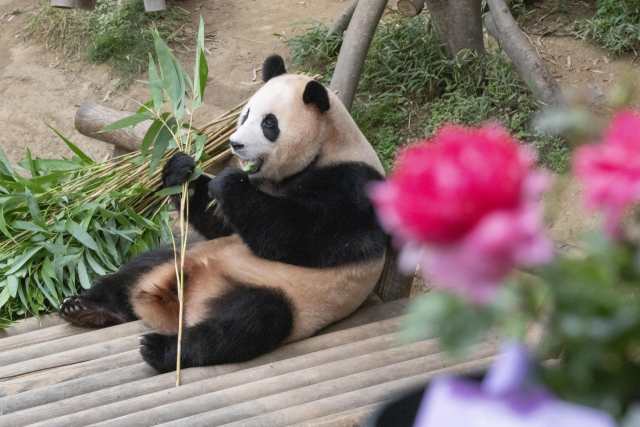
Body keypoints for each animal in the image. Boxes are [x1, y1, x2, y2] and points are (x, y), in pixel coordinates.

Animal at [60, 55, 388, 372]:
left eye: (270, 123)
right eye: (245, 115)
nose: (235, 144)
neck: (327, 148)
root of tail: (180, 302)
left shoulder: (353, 190)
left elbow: (296, 236)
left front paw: (229, 181)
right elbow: (222, 224)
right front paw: (181, 170)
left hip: (292, 298)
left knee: (246, 323)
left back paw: (161, 349)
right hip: (178, 256)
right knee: (139, 268)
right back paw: (86, 308)